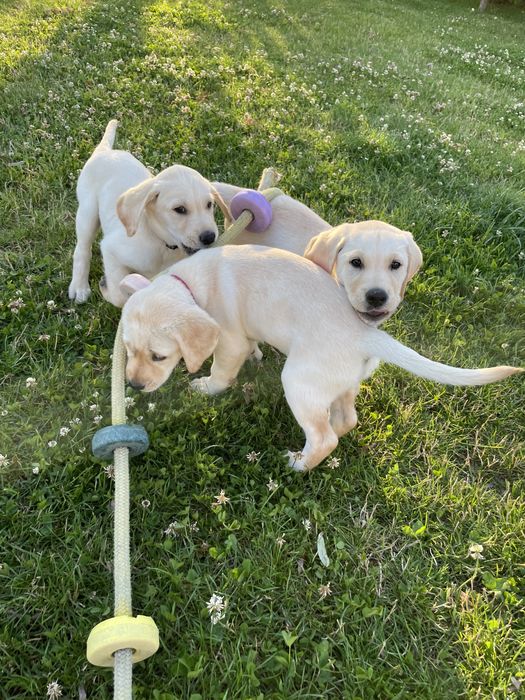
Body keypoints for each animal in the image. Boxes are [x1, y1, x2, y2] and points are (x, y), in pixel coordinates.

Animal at [119, 245, 520, 470]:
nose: (133, 385)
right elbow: (251, 346)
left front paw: (205, 387)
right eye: (127, 349)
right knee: (344, 420)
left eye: (159, 356)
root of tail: (366, 334)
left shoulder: (229, 340)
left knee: (324, 438)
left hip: (299, 381)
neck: (189, 285)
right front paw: (256, 356)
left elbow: (222, 370)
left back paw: (298, 464)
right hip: (340, 384)